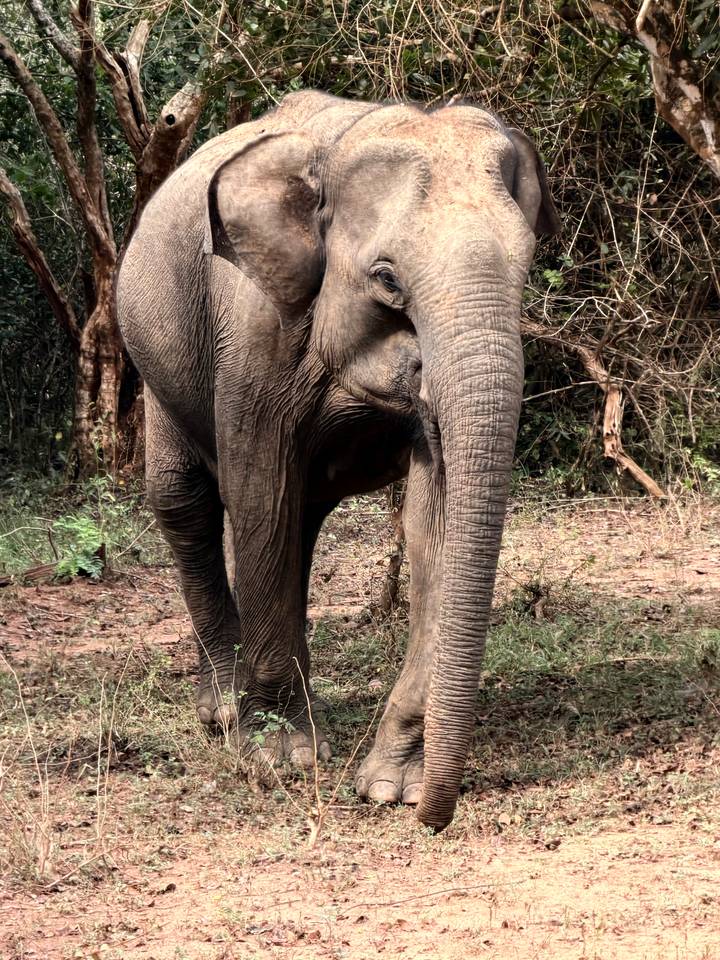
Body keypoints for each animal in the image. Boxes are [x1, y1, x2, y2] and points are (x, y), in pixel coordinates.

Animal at [117, 90, 559, 831]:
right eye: (386, 277)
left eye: (526, 264)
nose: (433, 820)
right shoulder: (255, 331)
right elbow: (259, 489)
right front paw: (281, 761)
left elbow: (435, 518)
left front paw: (391, 786)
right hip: (156, 355)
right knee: (187, 502)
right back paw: (223, 713)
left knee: (300, 524)